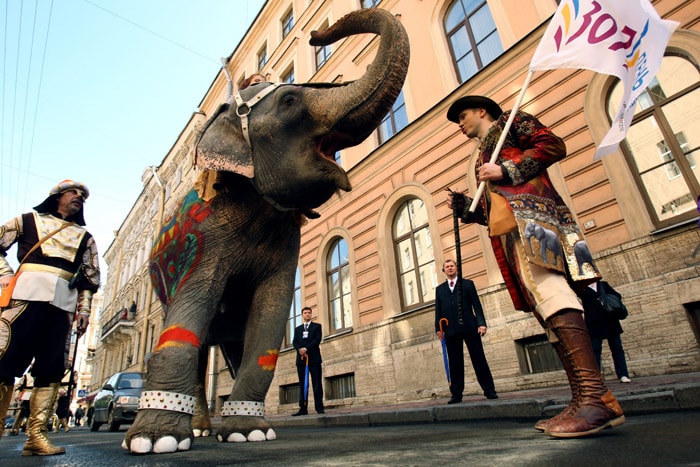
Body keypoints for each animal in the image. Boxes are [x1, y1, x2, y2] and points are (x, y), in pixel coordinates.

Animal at [123, 7, 410, 456]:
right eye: (290, 101)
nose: (315, 35)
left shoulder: (285, 246)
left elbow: (268, 323)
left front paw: (249, 432)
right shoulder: (204, 240)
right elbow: (186, 321)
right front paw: (155, 441)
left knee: (229, 349)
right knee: (202, 348)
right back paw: (197, 431)